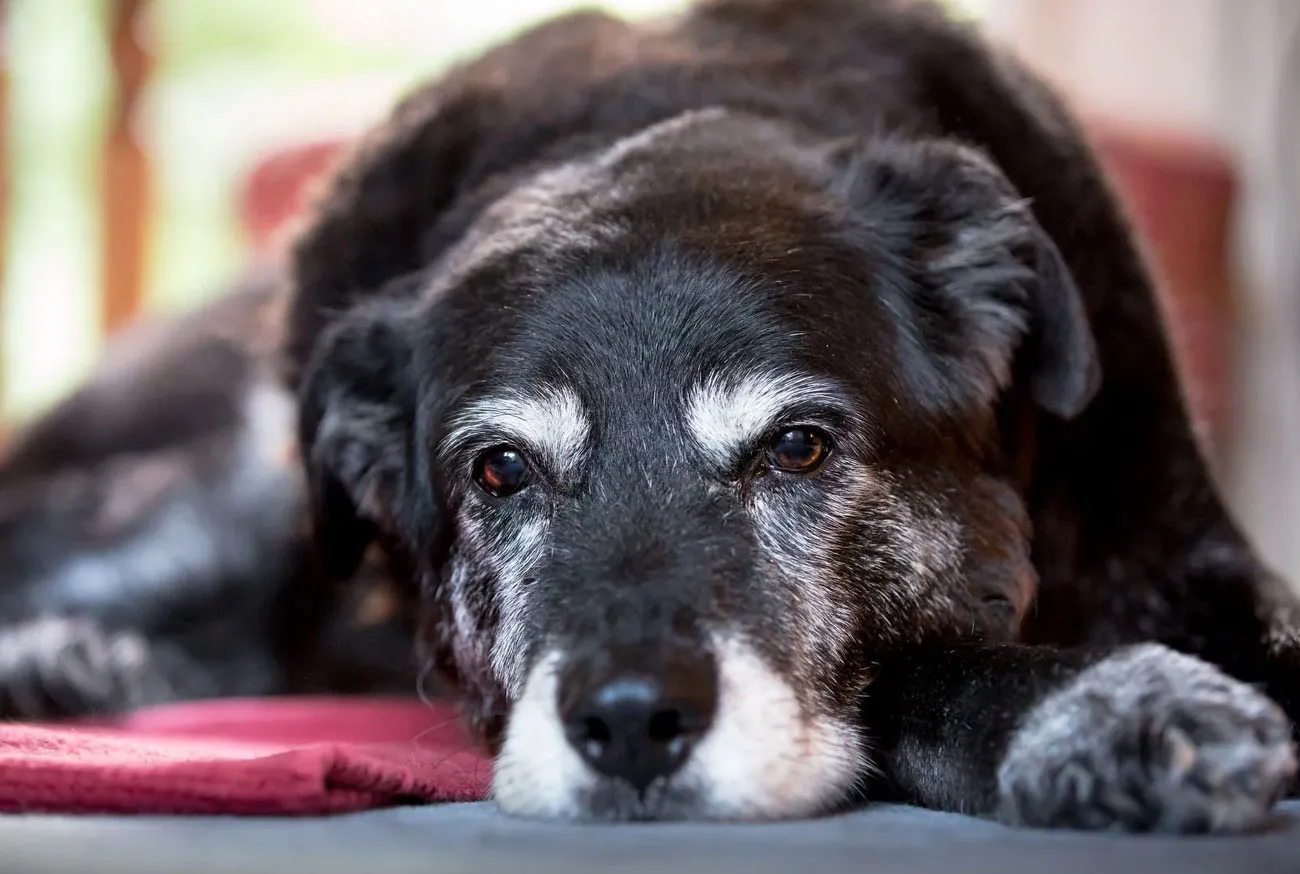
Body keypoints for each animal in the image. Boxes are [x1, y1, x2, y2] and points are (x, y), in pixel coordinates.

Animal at [2, 0, 1300, 832]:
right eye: (498, 471)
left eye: (797, 447)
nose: (629, 723)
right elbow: (917, 665)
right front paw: (1108, 710)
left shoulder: (1188, 558)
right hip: (225, 499)